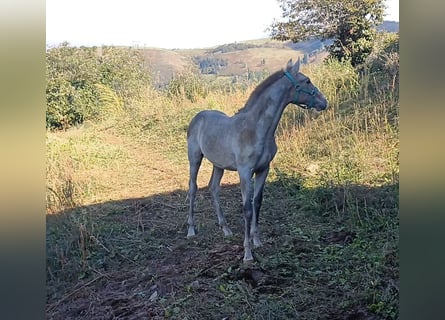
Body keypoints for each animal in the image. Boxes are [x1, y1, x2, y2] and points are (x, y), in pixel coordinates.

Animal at [186, 58, 328, 262]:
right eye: (307, 81)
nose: (324, 102)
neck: (257, 129)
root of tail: (198, 117)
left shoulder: (263, 169)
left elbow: (257, 202)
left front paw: (257, 241)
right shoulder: (245, 172)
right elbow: (246, 207)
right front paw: (247, 253)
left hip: (218, 164)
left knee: (213, 188)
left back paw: (226, 229)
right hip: (194, 159)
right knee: (193, 188)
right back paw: (191, 229)